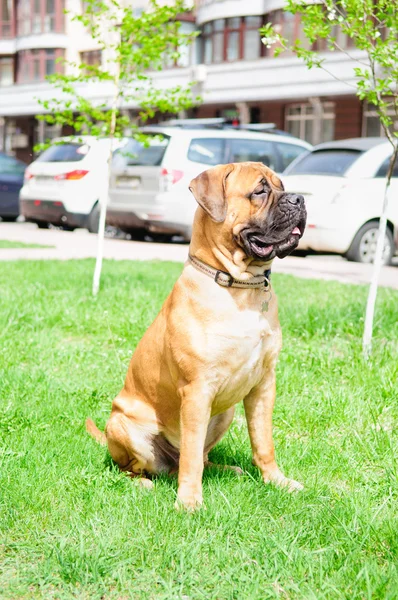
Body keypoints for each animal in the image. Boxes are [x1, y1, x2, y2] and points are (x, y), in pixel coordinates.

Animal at [86, 162, 304, 508]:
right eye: (259, 190)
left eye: (282, 186)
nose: (300, 198)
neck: (241, 286)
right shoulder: (197, 389)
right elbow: (190, 454)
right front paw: (189, 501)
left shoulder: (263, 384)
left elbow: (263, 442)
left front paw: (277, 481)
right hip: (124, 426)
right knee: (141, 468)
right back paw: (144, 483)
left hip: (225, 412)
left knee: (200, 456)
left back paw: (227, 470)